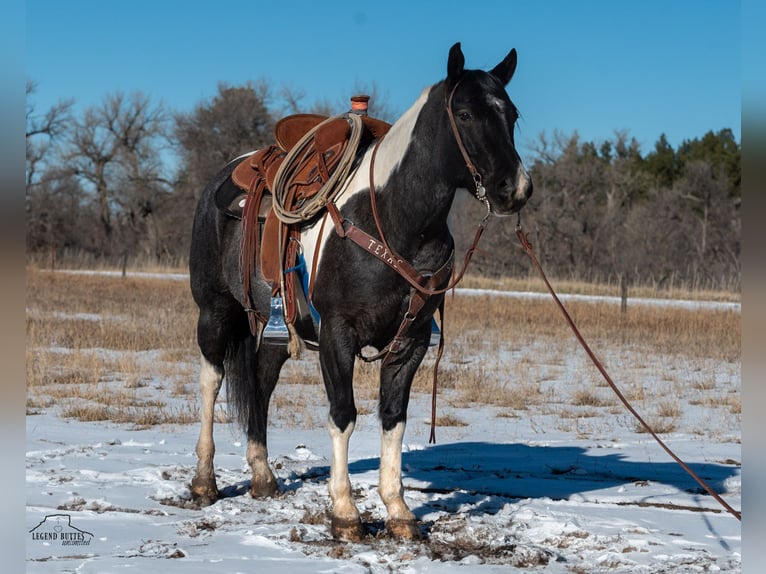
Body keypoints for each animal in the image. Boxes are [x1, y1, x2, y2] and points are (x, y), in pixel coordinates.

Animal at [188, 42, 536, 544]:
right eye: (466, 113)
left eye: (511, 113)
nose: (515, 188)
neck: (393, 219)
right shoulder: (338, 335)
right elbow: (343, 414)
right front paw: (345, 512)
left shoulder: (411, 342)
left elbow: (393, 418)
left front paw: (400, 512)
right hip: (214, 311)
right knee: (211, 381)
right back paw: (203, 482)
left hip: (275, 327)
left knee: (261, 382)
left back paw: (263, 477)